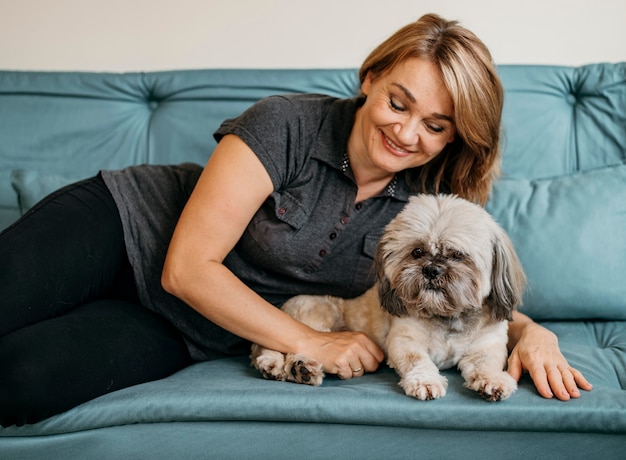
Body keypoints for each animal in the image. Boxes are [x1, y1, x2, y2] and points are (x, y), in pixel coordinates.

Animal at [251, 192, 524, 400]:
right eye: (417, 252)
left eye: (457, 255)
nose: (431, 270)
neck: (447, 317)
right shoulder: (404, 341)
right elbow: (418, 360)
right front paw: (425, 381)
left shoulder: (488, 346)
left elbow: (486, 364)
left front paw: (493, 381)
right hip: (320, 315)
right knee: (284, 345)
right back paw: (294, 367)